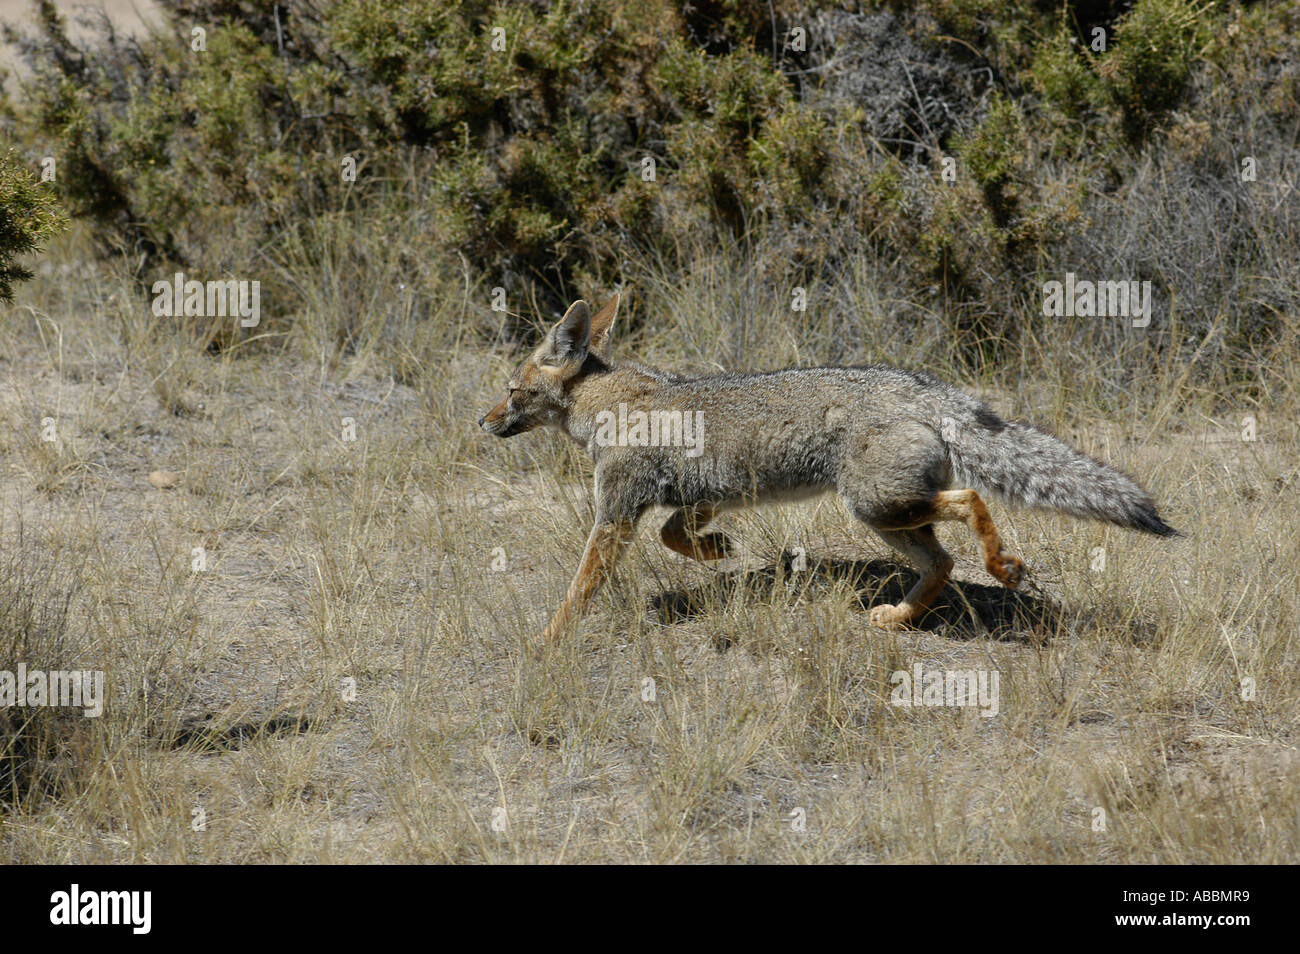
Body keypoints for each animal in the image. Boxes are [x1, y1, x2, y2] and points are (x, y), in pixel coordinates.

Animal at [479, 293, 1178, 645]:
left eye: (511, 392)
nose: (483, 421)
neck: (610, 402)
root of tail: (929, 389)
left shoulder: (615, 513)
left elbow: (580, 588)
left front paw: (547, 640)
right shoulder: (703, 496)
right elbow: (677, 534)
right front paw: (719, 549)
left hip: (873, 503)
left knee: (971, 501)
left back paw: (1002, 565)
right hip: (887, 517)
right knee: (943, 562)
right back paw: (898, 618)